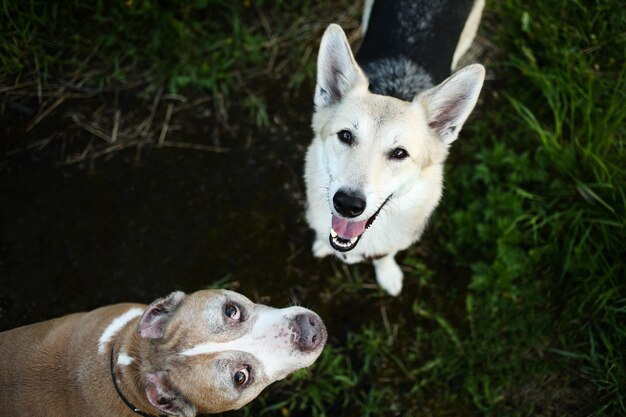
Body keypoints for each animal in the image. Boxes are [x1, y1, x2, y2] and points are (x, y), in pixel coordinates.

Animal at [304, 0, 486, 294]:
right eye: (345, 136)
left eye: (399, 153)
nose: (348, 204)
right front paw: (322, 243)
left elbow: (385, 254)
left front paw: (387, 272)